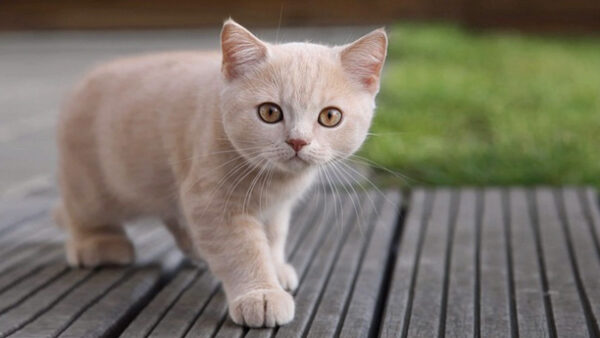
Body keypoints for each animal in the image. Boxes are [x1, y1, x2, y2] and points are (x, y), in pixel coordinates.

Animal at [54, 20, 386, 328]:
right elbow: (242, 248)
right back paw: (98, 243)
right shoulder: (213, 201)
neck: (275, 183)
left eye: (330, 116)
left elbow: (274, 235)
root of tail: (87, 78)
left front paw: (276, 266)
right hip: (92, 184)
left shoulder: (275, 207)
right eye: (270, 112)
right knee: (80, 211)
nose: (297, 141)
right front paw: (261, 293)